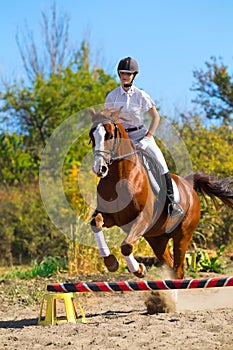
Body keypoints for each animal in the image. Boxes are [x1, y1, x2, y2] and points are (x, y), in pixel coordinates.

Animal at [88, 107, 233, 278]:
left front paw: (139, 269)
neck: (120, 176)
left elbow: (126, 246)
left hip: (182, 236)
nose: (100, 168)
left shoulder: (143, 218)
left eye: (110, 135)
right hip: (157, 239)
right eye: (92, 135)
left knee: (178, 269)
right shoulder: (111, 217)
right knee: (171, 265)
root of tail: (188, 186)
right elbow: (96, 224)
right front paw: (111, 262)